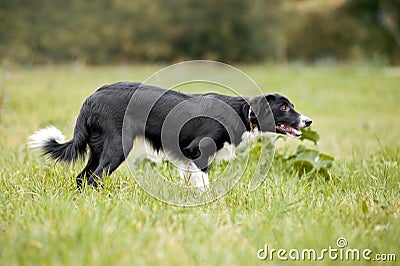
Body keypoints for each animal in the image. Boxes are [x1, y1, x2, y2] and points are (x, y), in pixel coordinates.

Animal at [28, 82, 312, 190]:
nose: (308, 121)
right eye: (284, 107)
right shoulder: (198, 150)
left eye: (292, 105)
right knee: (94, 177)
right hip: (117, 147)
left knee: (82, 177)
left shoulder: (185, 156)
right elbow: (204, 183)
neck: (243, 112)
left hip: (98, 148)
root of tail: (91, 98)